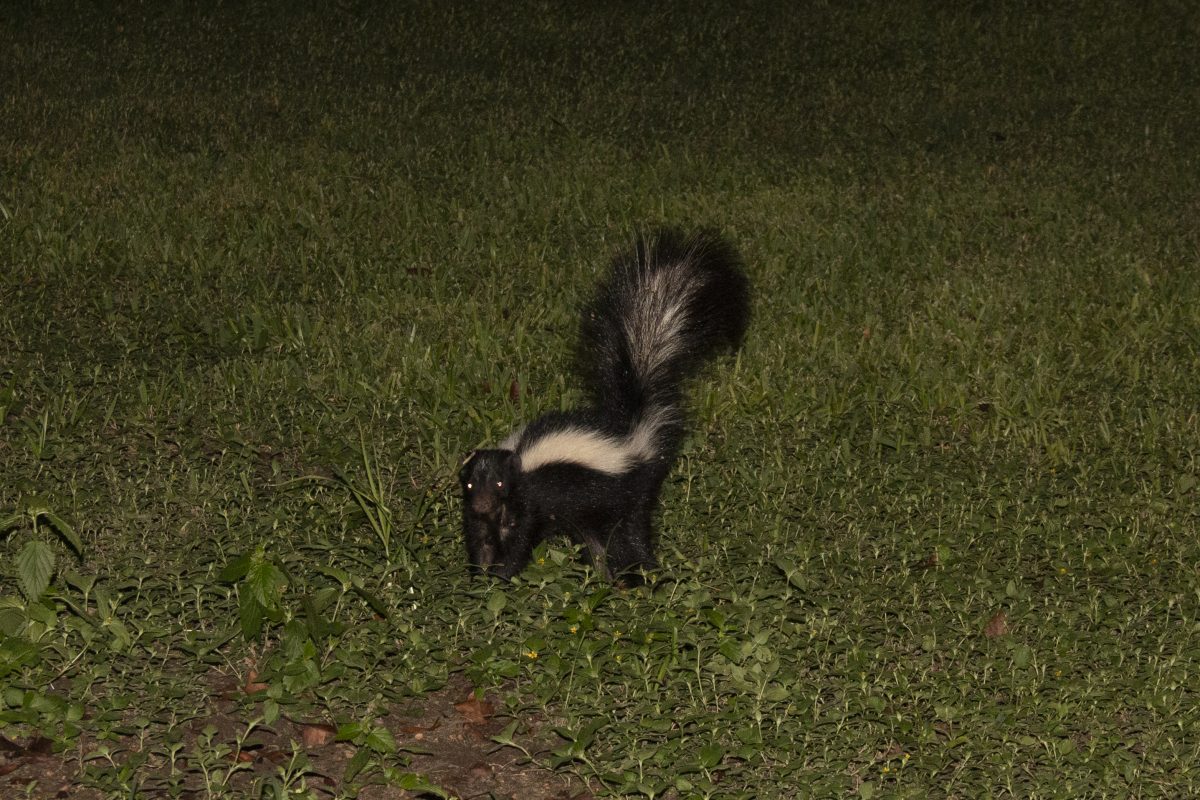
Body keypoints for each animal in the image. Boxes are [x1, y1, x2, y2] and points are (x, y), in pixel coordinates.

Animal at [458, 227, 748, 585]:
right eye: (470, 484)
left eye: (499, 484)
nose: (483, 505)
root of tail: (634, 429)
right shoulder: (483, 514)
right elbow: (481, 542)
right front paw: (478, 579)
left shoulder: (528, 502)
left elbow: (520, 542)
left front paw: (501, 576)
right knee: (595, 540)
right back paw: (603, 575)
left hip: (626, 496)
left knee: (627, 535)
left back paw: (641, 576)